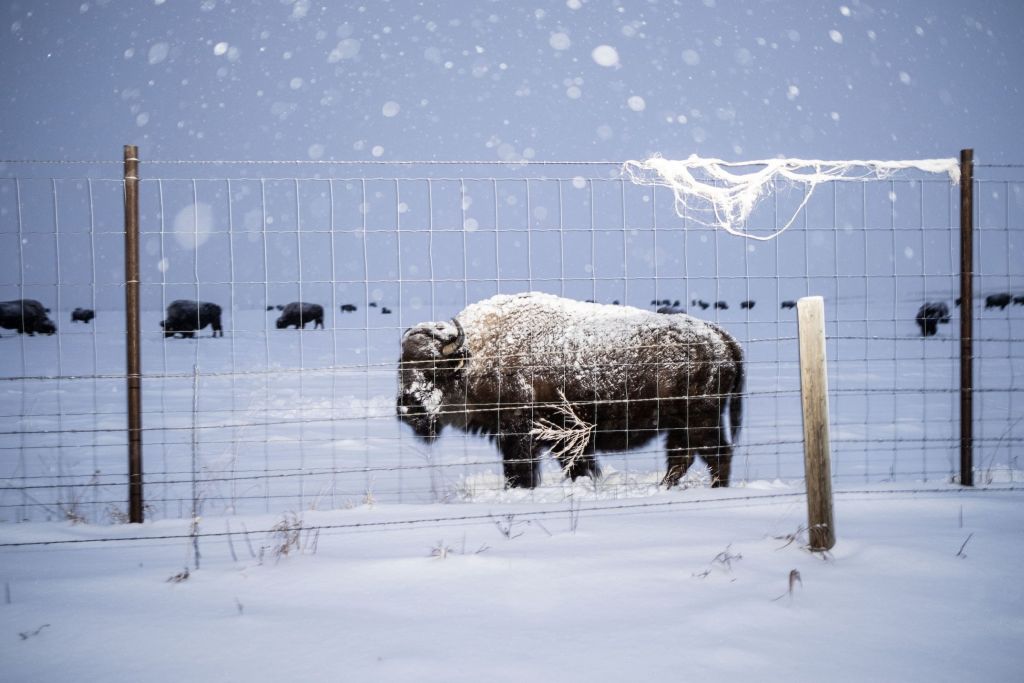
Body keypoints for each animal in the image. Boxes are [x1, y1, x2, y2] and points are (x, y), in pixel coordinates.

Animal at [393, 290, 745, 489]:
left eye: (435, 370)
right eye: (401, 367)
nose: (408, 408)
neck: (477, 355)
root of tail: (721, 337)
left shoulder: (523, 434)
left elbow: (523, 472)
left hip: (700, 420)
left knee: (717, 454)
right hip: (680, 424)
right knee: (682, 458)